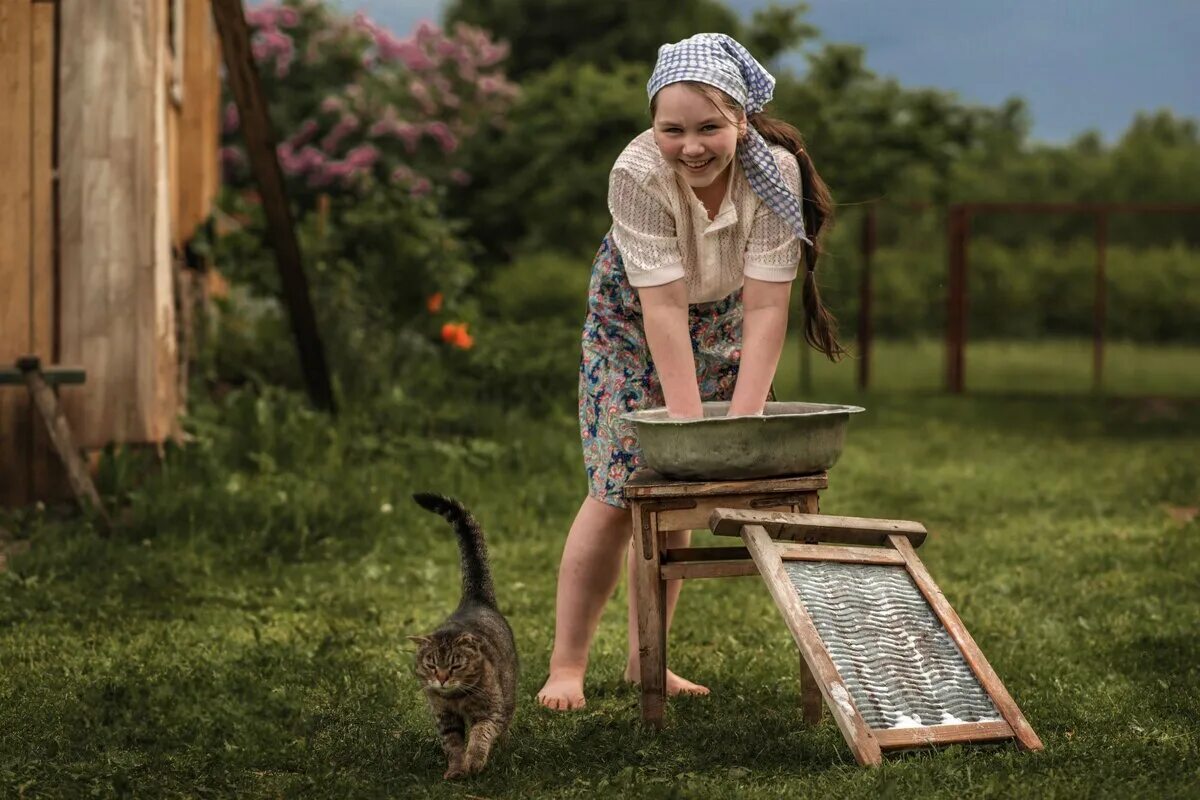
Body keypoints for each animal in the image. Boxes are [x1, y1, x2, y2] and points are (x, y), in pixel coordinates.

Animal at [408, 491, 516, 777]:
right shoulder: (445, 718)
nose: (442, 678)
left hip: (508, 694)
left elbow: (480, 736)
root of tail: (475, 597)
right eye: (432, 665)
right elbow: (453, 745)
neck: (456, 698)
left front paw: (474, 762)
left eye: (455, 665)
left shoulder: (490, 712)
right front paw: (456, 769)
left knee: (505, 724)